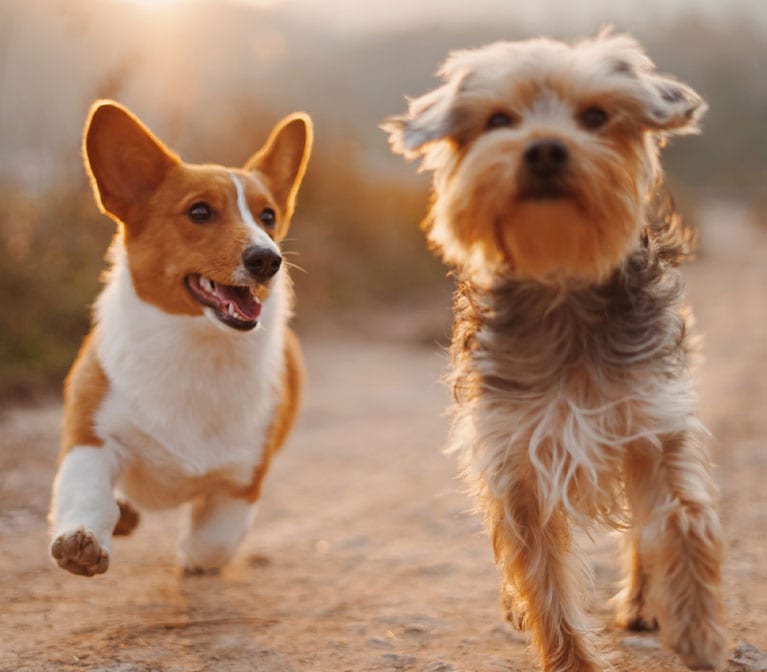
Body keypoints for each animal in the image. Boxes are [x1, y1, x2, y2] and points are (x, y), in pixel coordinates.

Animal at [49, 100, 312, 576]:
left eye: (268, 217)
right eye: (200, 212)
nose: (268, 259)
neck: (196, 346)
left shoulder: (242, 481)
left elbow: (213, 543)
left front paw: (192, 557)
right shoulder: (92, 436)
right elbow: (86, 491)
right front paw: (82, 540)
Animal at [388, 30, 728, 672]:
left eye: (595, 116)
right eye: (499, 119)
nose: (545, 149)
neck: (561, 282)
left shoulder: (652, 421)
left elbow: (682, 519)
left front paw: (698, 628)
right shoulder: (515, 456)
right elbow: (541, 574)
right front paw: (569, 656)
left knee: (641, 532)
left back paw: (643, 601)